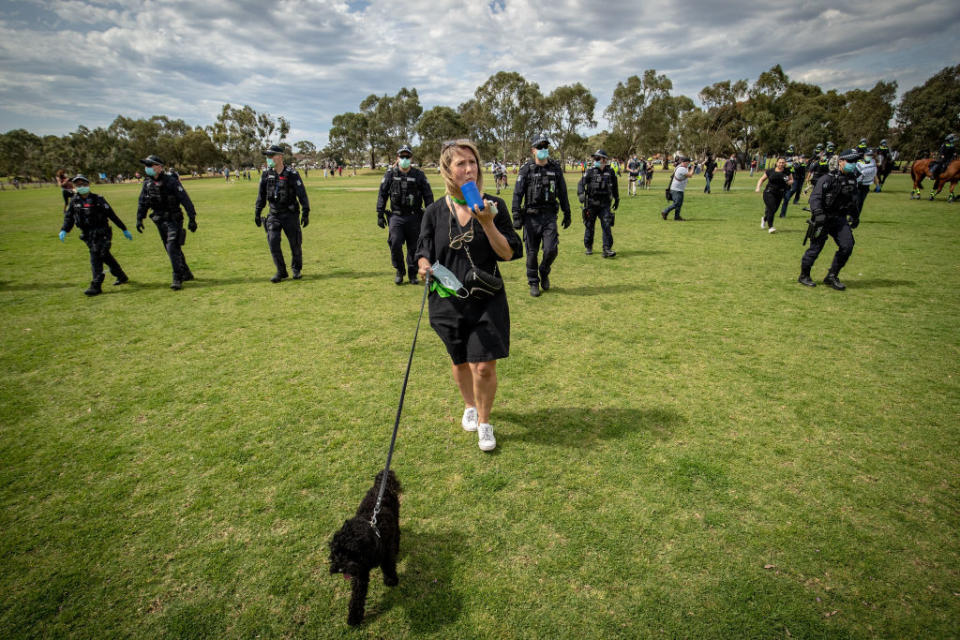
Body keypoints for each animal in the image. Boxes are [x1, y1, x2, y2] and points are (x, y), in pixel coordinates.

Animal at [328, 470, 400, 624]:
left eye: (351, 552)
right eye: (336, 553)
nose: (341, 569)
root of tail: (380, 485)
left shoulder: (385, 554)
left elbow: (389, 566)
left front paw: (391, 580)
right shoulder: (360, 571)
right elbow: (357, 595)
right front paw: (354, 617)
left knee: (397, 533)